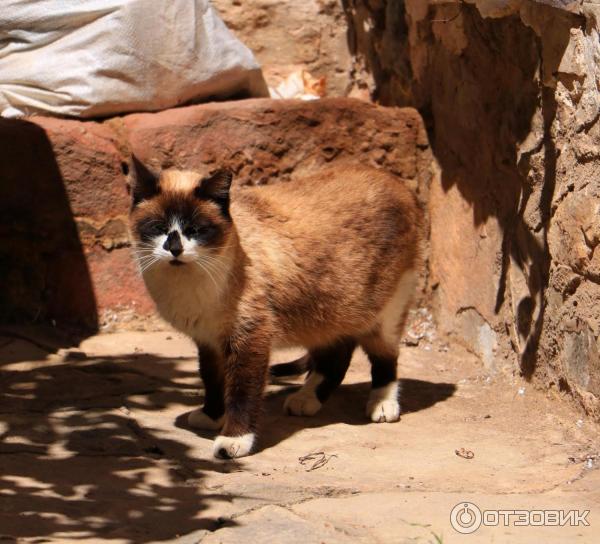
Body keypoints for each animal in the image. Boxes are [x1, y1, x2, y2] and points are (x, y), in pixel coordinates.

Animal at [129, 158, 424, 460]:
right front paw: (211, 416)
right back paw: (305, 399)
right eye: (158, 228)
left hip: (383, 314)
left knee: (385, 358)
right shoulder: (209, 340)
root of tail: (396, 181)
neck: (186, 285)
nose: (174, 249)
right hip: (331, 313)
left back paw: (382, 405)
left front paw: (233, 440)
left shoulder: (249, 340)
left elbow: (241, 394)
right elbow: (212, 381)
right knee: (337, 356)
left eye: (195, 230)